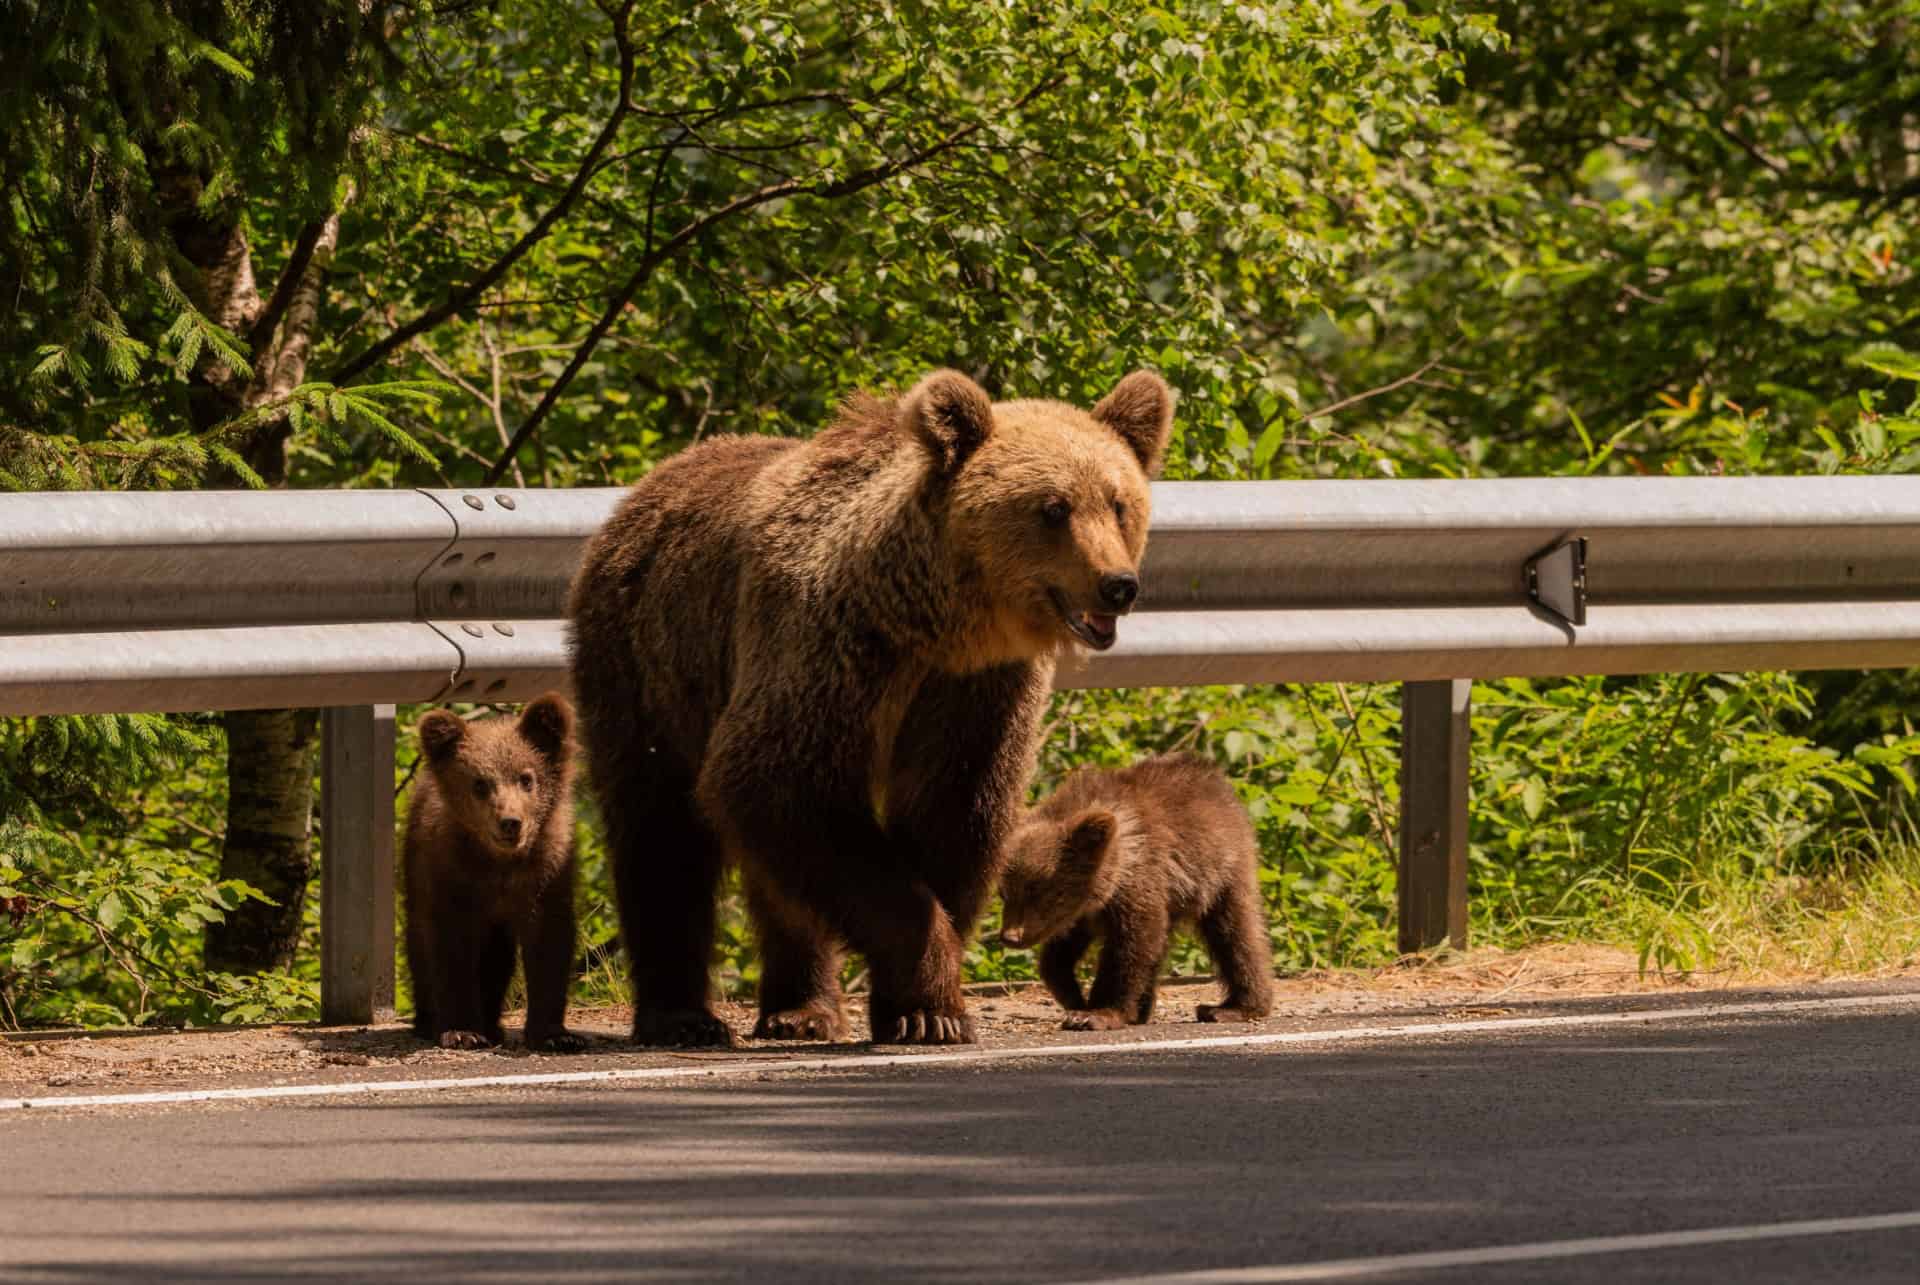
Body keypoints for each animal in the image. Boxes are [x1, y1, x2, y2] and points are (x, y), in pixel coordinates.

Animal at [564, 368, 1167, 1044]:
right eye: (1054, 508)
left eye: (1119, 503)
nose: (1117, 585)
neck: (935, 624)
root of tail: (643, 489)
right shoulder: (832, 649)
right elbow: (781, 782)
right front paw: (933, 999)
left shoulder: (975, 690)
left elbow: (952, 810)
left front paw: (915, 1008)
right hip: (648, 664)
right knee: (660, 828)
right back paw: (683, 1016)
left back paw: (801, 1010)